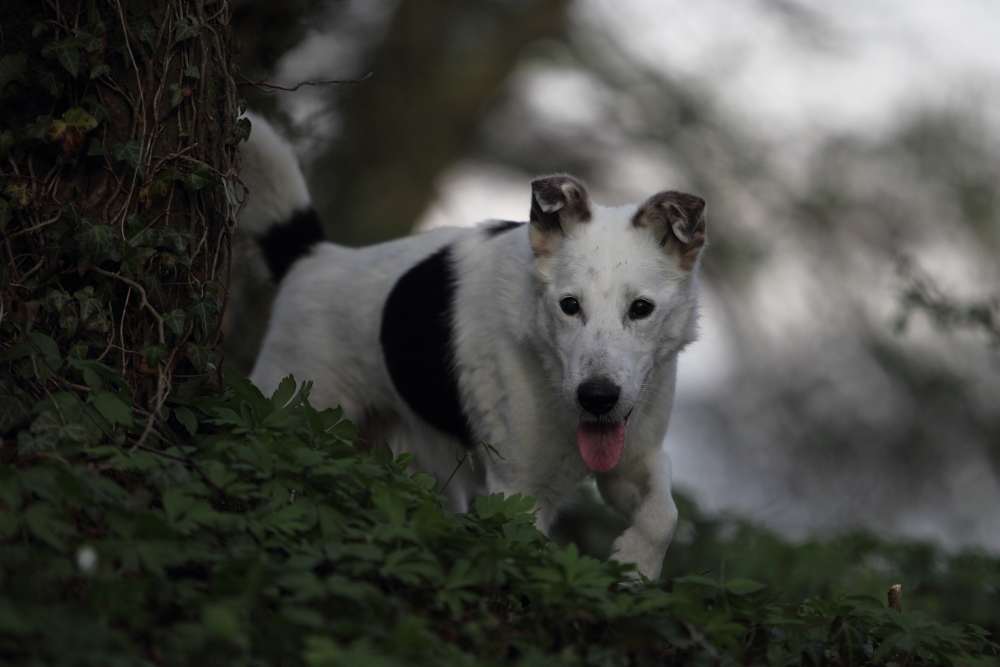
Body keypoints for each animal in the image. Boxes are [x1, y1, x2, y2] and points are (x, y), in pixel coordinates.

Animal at [238, 115, 708, 580]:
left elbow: (663, 516)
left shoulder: (634, 460)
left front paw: (636, 565)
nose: (597, 398)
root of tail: (311, 258)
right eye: (569, 306)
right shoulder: (518, 489)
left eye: (641, 308)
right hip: (298, 410)